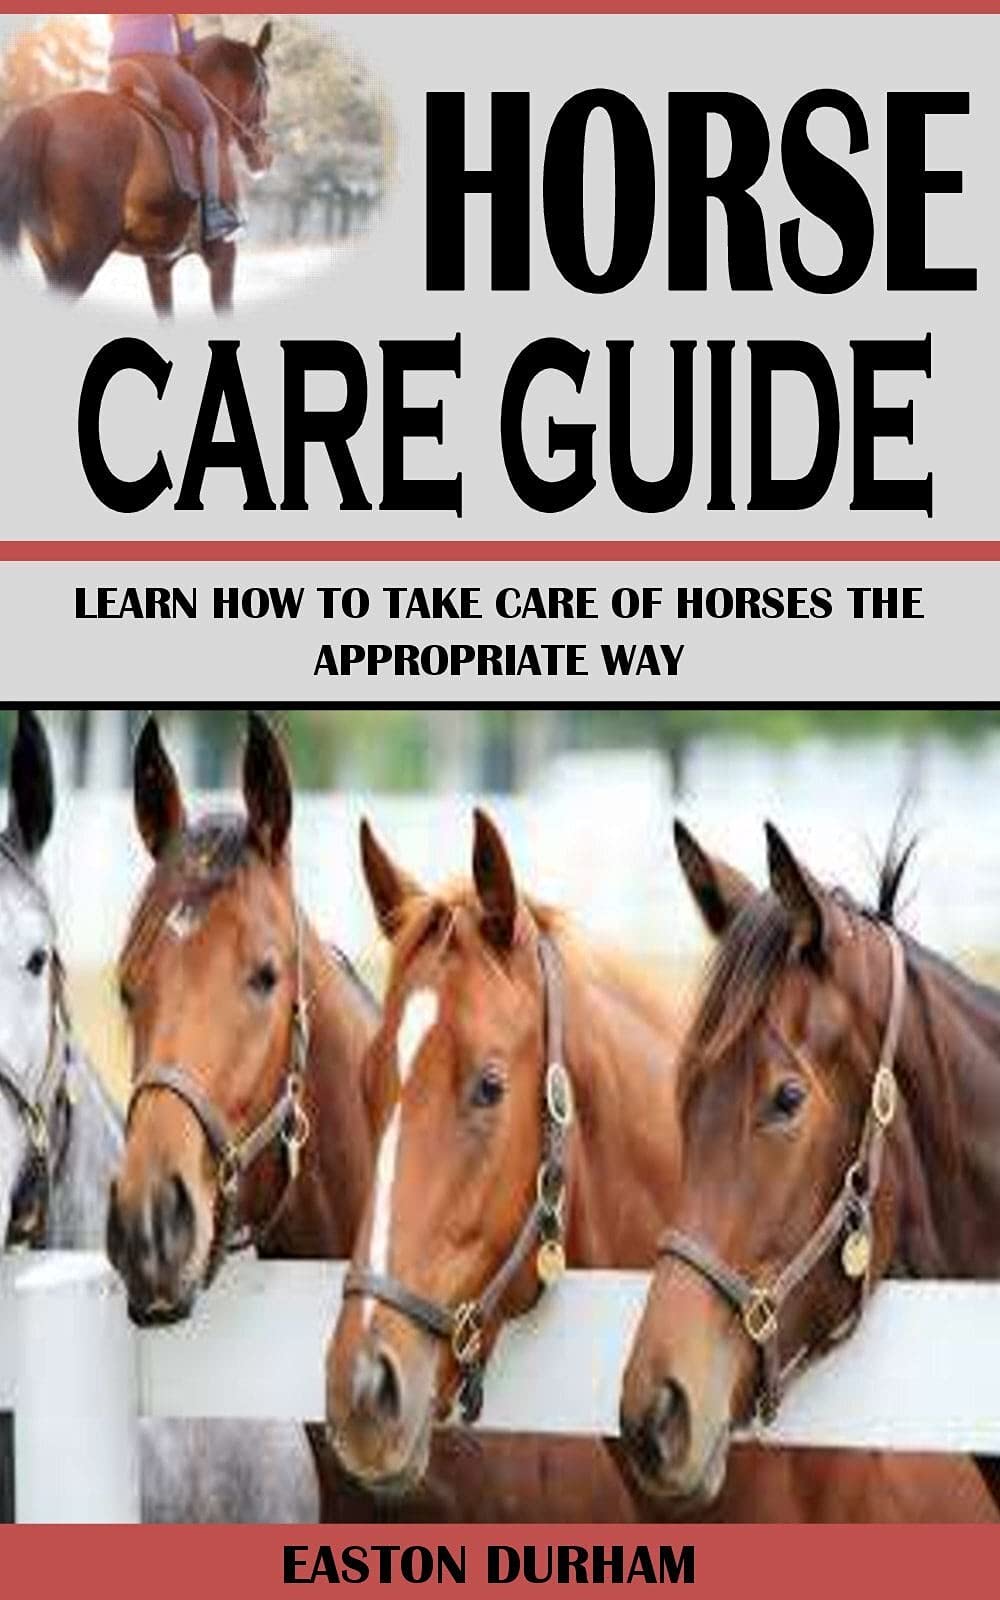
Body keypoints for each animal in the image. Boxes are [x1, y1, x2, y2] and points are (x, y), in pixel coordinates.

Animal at [0, 26, 273, 312]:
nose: (266, 156)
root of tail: (45, 114)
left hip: (51, 256)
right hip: (83, 256)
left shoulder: (159, 264)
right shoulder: (222, 254)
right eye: (265, 87)